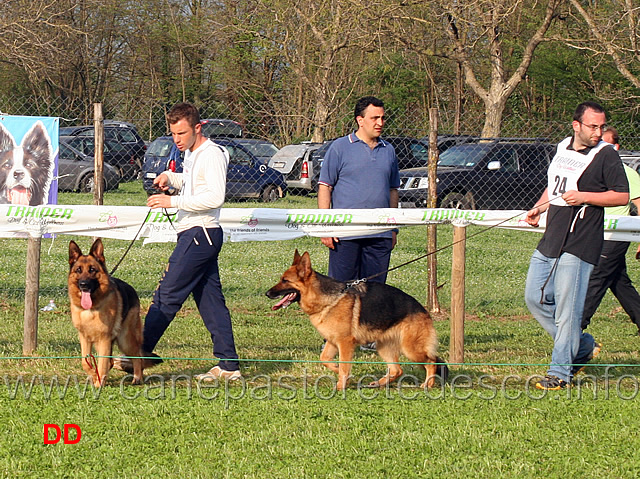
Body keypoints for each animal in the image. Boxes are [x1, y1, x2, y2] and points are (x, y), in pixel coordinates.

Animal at [70, 238, 145, 388]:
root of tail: (132, 289)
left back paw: (137, 378)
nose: (83, 284)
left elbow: (102, 363)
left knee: (137, 356)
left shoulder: (104, 338)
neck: (91, 309)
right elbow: (85, 362)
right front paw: (94, 376)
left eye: (92, 270)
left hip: (125, 340)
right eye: (78, 270)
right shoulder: (84, 338)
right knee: (110, 361)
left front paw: (99, 383)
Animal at [264, 251, 444, 390]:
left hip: (410, 349)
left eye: (285, 280)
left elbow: (344, 366)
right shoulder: (332, 341)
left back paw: (428, 384)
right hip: (384, 347)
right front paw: (338, 371)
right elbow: (325, 359)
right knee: (397, 370)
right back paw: (379, 383)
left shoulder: (345, 343)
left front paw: (340, 386)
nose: (267, 293)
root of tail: (424, 310)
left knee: (432, 361)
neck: (327, 299)